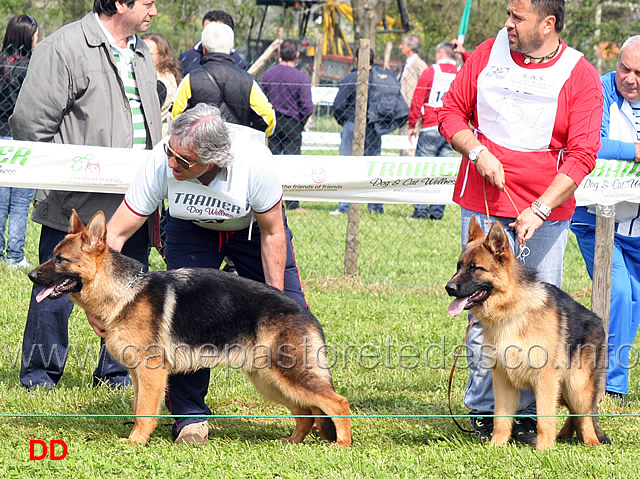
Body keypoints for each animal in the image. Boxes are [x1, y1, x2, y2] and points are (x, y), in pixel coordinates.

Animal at [27, 212, 352, 448]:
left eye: (61, 260)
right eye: (51, 255)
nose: (30, 275)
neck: (124, 291)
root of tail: (305, 313)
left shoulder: (151, 373)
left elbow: (144, 412)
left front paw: (135, 443)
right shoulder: (139, 375)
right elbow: (138, 408)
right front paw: (137, 439)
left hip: (288, 375)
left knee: (337, 402)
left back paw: (342, 445)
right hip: (270, 380)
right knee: (306, 412)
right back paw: (293, 441)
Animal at [444, 217, 608, 450]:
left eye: (475, 268)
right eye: (459, 267)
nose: (448, 287)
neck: (512, 310)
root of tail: (598, 320)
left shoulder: (545, 378)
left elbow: (545, 418)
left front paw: (544, 449)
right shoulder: (502, 379)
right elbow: (501, 418)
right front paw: (496, 446)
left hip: (577, 385)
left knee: (584, 416)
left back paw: (591, 442)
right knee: (574, 415)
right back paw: (564, 436)